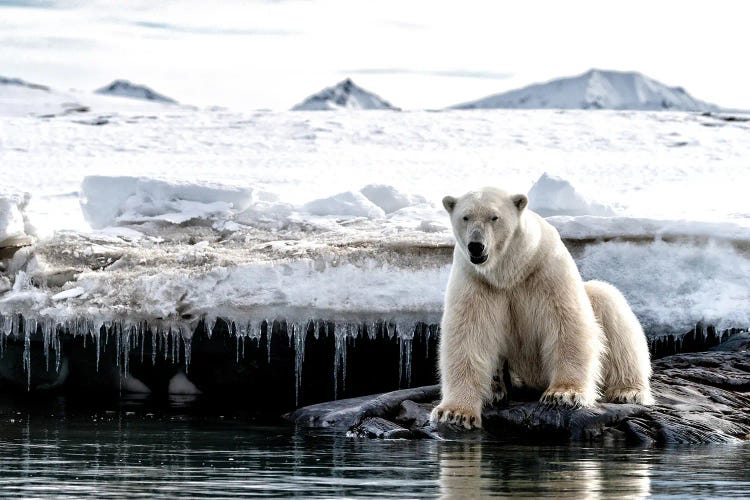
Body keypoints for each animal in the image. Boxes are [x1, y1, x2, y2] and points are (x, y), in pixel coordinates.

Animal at [432, 188, 656, 430]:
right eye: (465, 217)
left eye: (494, 217)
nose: (476, 245)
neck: (509, 272)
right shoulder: (477, 281)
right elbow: (469, 336)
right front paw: (455, 413)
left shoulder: (545, 269)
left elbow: (566, 323)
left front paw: (564, 394)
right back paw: (495, 388)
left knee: (609, 304)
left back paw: (628, 390)